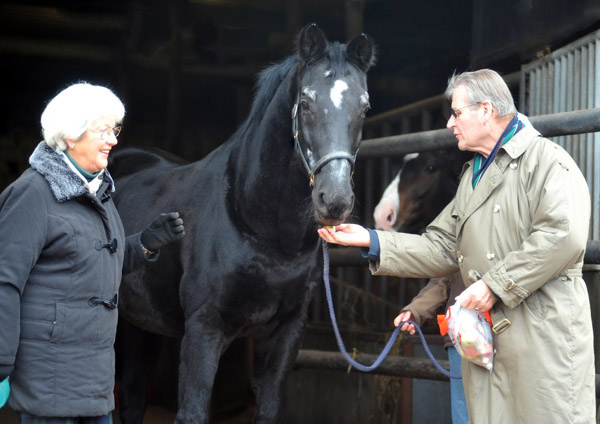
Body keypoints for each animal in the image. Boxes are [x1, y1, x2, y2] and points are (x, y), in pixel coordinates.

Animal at [110, 24, 372, 424]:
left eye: (365, 107)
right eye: (306, 102)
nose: (336, 200)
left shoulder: (285, 334)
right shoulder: (203, 329)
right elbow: (192, 412)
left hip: (142, 324)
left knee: (133, 393)